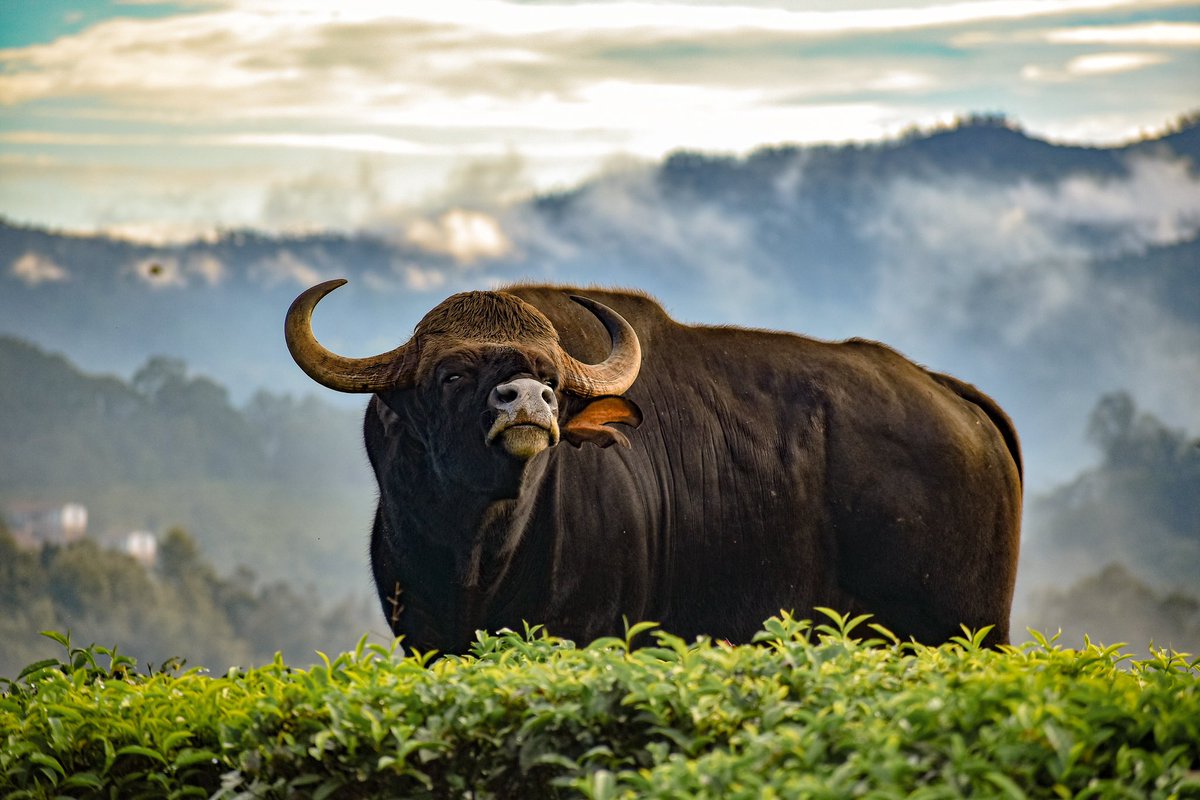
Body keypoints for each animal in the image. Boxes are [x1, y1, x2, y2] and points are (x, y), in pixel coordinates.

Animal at [286, 281, 1022, 653]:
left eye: (551, 377)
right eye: (452, 372)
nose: (530, 400)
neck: (478, 556)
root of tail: (954, 399)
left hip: (960, 631)